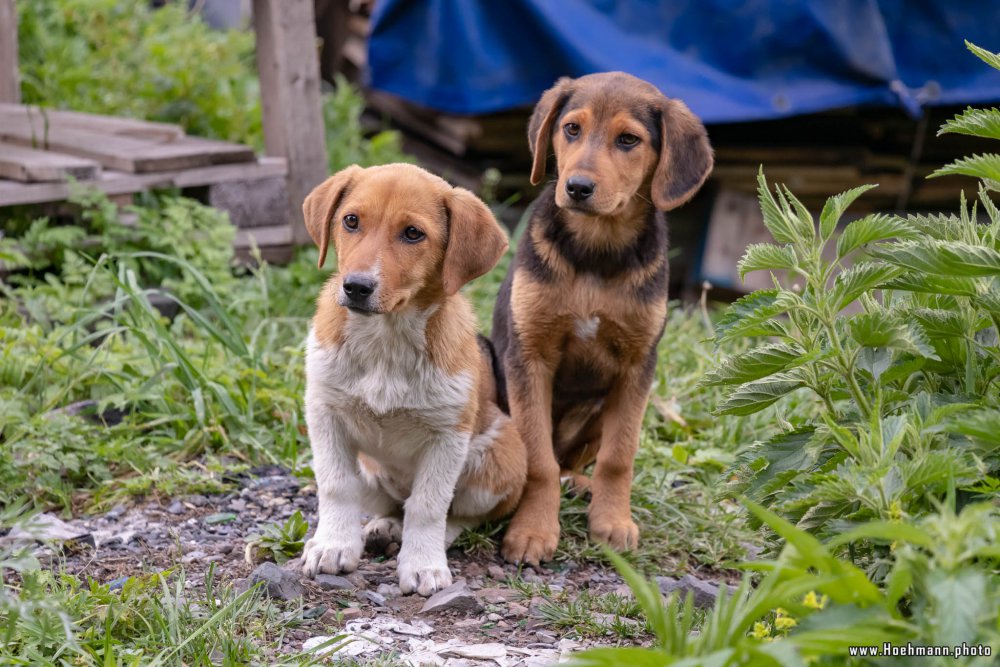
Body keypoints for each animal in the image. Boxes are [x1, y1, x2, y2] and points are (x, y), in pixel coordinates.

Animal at [300, 164, 528, 596]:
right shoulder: (325, 412)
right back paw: (383, 528)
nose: (356, 287)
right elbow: (336, 485)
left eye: (412, 233)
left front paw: (423, 565)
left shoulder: (448, 436)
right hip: (371, 472)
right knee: (392, 504)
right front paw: (333, 545)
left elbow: (429, 506)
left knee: (457, 515)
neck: (386, 342)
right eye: (351, 221)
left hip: (499, 460)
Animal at [490, 72, 712, 564]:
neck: (596, 250)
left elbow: (618, 456)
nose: (576, 187)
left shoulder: (638, 365)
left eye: (628, 140)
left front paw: (612, 522)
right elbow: (538, 459)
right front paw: (533, 530)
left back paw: (580, 484)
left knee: (573, 461)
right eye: (571, 129)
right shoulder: (528, 356)